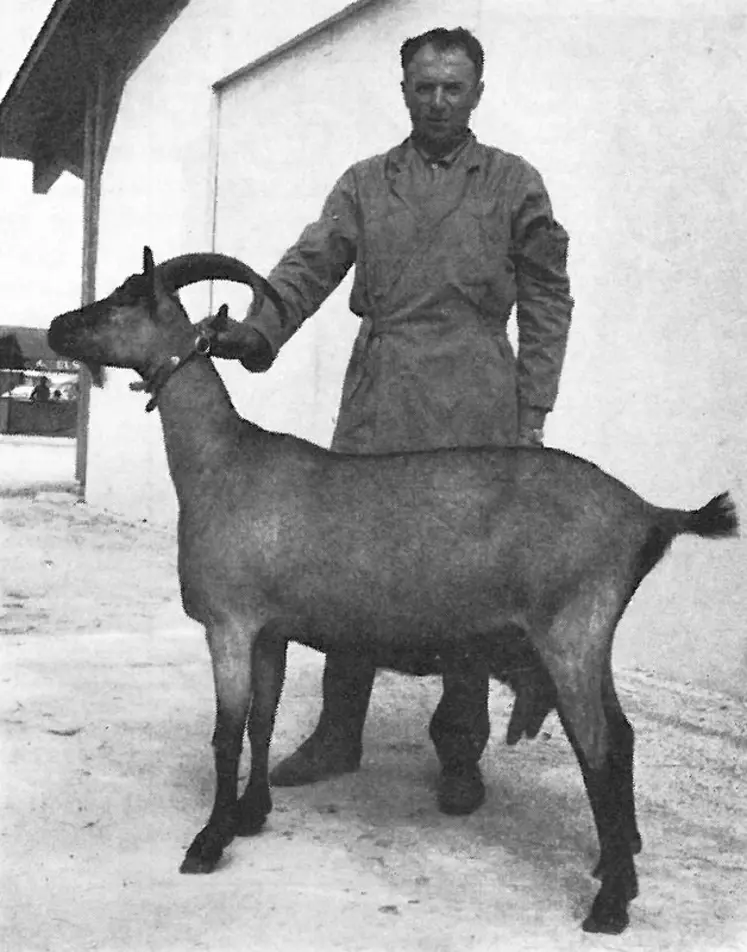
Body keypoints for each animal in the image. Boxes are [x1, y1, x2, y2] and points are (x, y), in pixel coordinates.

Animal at [49, 249, 740, 932]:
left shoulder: (230, 624)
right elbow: (262, 724)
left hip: (571, 631)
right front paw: (251, 814)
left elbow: (226, 735)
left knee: (599, 749)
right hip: (594, 640)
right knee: (623, 737)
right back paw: (616, 865)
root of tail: (648, 514)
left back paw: (611, 902)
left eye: (126, 296)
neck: (222, 463)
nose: (57, 326)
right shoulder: (269, 631)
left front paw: (208, 842)